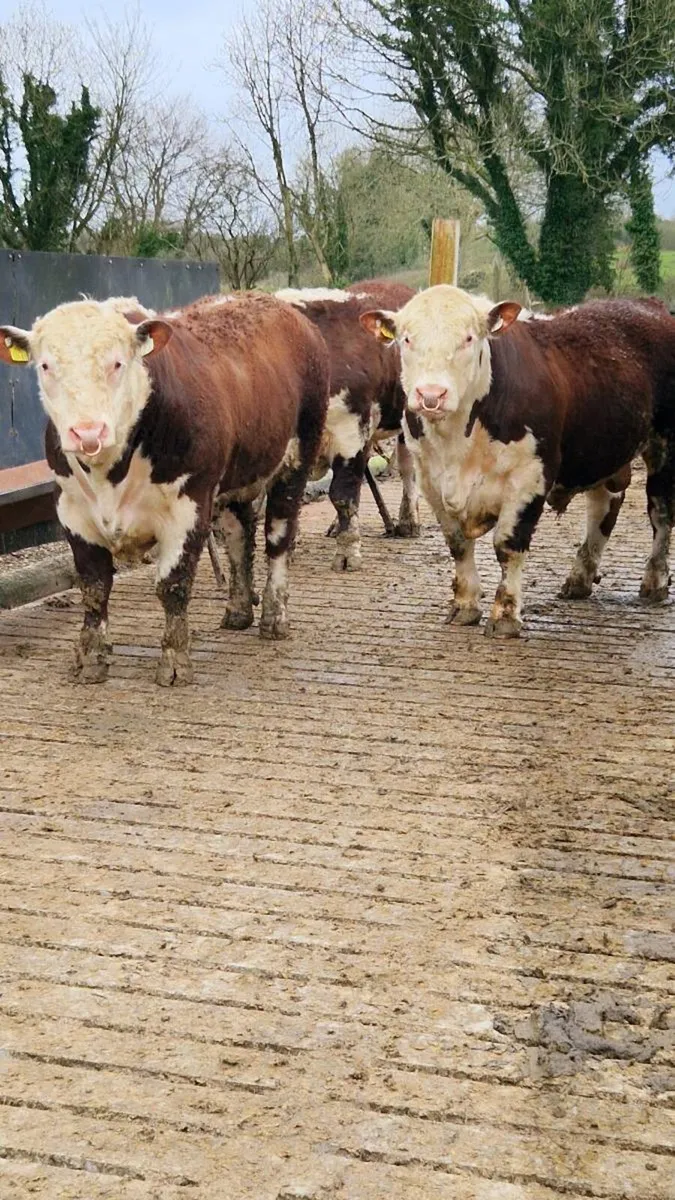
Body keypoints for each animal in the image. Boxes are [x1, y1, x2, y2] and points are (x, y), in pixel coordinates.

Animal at [0, 293, 329, 684]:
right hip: (237, 476)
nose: (88, 432)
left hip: (297, 457)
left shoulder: (188, 505)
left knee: (278, 537)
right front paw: (91, 659)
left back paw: (274, 617)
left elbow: (173, 585)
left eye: (117, 363)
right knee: (238, 536)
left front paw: (174, 662)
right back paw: (238, 611)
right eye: (47, 366)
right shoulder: (73, 511)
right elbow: (94, 587)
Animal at [360, 285, 675, 636]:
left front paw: (506, 614)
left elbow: (508, 545)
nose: (431, 395)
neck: (457, 443)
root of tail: (646, 304)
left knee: (661, 514)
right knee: (604, 505)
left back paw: (655, 582)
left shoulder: (530, 477)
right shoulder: (430, 478)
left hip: (664, 446)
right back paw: (580, 577)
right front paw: (465, 605)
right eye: (406, 339)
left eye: (469, 338)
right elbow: (457, 543)